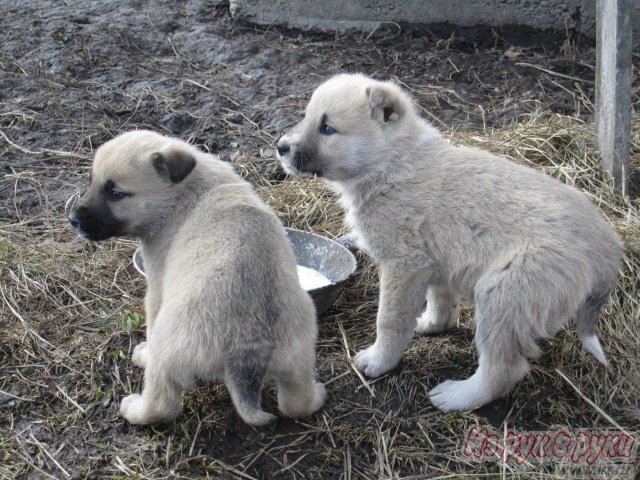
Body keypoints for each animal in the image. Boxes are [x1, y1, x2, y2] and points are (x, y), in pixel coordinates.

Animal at [70, 130, 324, 424]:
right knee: (295, 403)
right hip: (298, 354)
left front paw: (143, 353)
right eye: (92, 182)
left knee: (162, 404)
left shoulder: (156, 288)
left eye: (115, 194)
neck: (184, 191)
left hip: (167, 349)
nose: (73, 220)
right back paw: (317, 395)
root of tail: (249, 342)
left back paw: (135, 408)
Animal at [278, 73, 624, 410]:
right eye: (307, 116)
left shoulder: (403, 265)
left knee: (503, 369)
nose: (280, 147)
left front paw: (378, 361)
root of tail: (606, 249)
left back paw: (457, 396)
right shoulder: (434, 259)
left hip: (505, 295)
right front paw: (433, 324)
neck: (391, 160)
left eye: (327, 129)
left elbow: (389, 320)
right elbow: (440, 299)